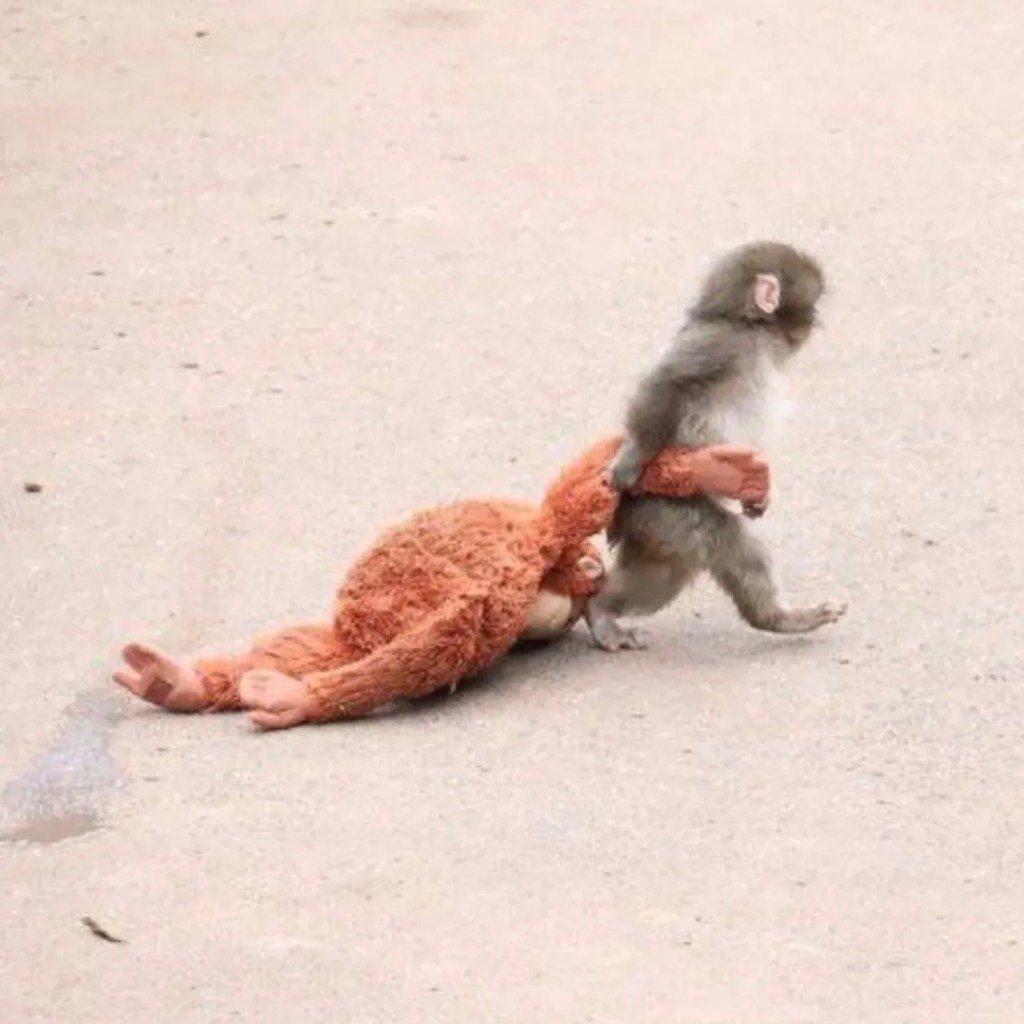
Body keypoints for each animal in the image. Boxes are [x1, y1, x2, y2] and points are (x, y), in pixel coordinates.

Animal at [586, 240, 847, 651]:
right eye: (813, 304)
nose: (816, 322)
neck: (748, 328)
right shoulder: (720, 345)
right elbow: (667, 382)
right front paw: (630, 460)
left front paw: (758, 497)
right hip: (665, 509)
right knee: (731, 544)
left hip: (658, 528)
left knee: (661, 574)